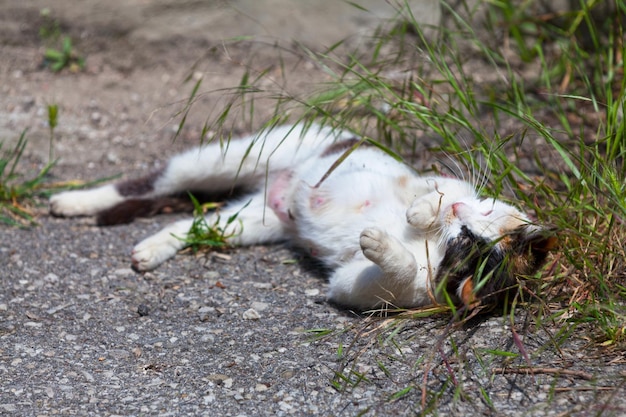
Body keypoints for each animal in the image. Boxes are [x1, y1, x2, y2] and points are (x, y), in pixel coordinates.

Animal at [50, 122, 556, 310]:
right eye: (479, 213)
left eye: (463, 244)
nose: (456, 211)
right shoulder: (431, 178)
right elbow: (433, 184)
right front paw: (422, 209)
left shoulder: (384, 290)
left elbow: (385, 277)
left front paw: (383, 244)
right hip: (243, 153)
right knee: (155, 181)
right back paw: (75, 200)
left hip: (248, 224)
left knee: (190, 225)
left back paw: (150, 250)